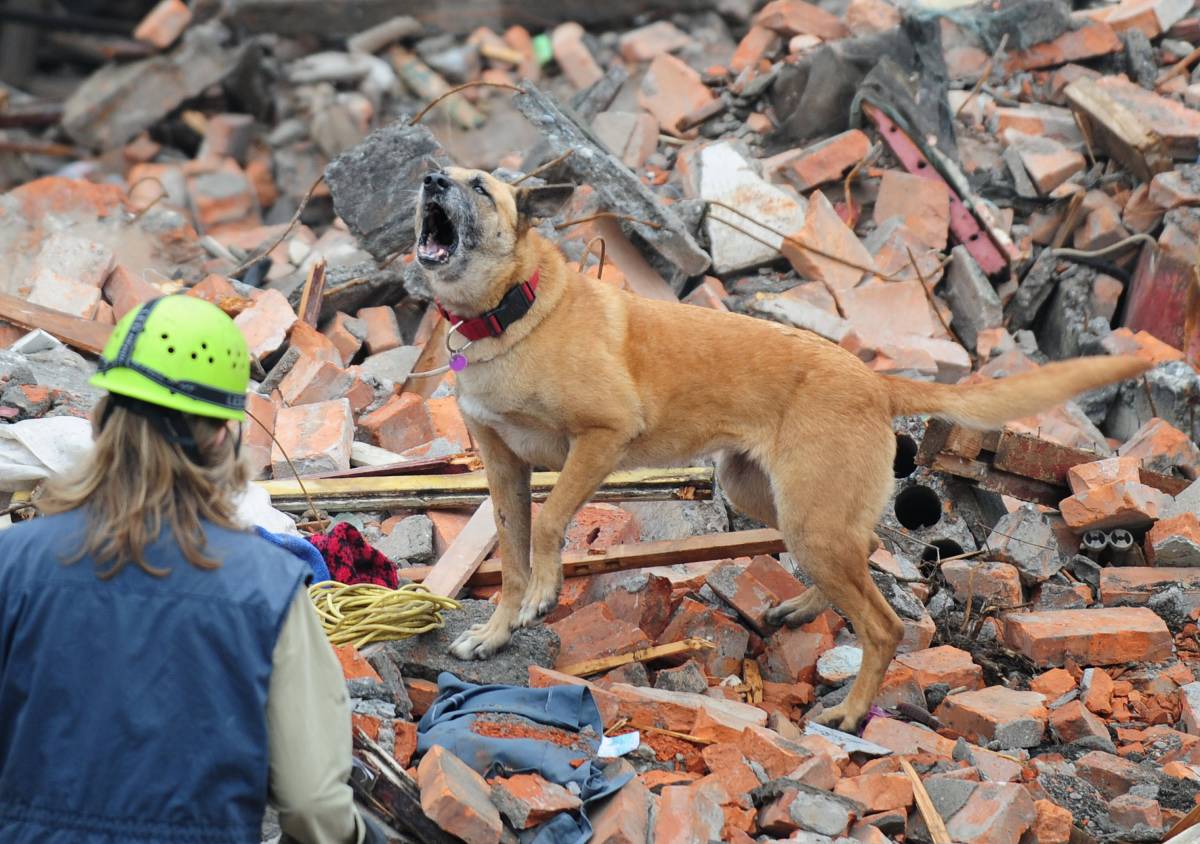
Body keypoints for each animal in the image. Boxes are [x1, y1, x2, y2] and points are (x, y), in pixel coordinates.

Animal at [415, 166, 1152, 734]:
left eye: (478, 186)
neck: (508, 312)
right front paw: (497, 632)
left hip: (808, 518)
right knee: (866, 555)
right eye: (443, 171)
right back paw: (803, 609)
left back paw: (850, 714)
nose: (429, 178)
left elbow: (547, 528)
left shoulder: (601, 435)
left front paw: (544, 593)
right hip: (772, 498)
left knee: (884, 625)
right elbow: (510, 558)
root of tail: (873, 380)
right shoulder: (502, 467)